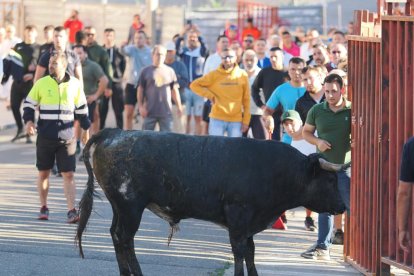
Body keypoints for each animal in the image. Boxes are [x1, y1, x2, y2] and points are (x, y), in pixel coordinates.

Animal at [75, 129, 346, 276]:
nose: (343, 207)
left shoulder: (248, 223)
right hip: (130, 207)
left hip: (119, 206)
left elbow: (250, 252)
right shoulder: (238, 217)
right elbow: (240, 251)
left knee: (116, 235)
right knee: (125, 238)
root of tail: (115, 132)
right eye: (330, 179)